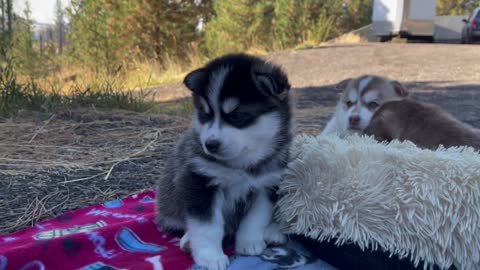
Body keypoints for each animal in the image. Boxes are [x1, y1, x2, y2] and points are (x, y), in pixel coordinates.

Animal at [157, 53, 292, 268]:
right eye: (205, 115)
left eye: (237, 116)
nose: (210, 144)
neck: (241, 165)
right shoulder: (201, 182)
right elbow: (207, 227)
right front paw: (210, 257)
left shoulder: (267, 185)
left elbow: (256, 218)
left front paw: (249, 241)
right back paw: (188, 241)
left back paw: (274, 232)